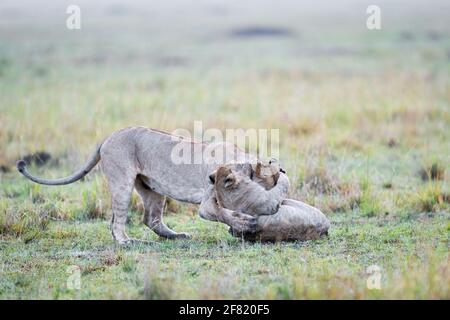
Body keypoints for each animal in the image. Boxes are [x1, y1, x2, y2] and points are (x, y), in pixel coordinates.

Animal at [17, 126, 288, 244]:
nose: (283, 172)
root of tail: (108, 136)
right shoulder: (206, 205)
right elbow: (221, 213)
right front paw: (244, 223)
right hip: (122, 182)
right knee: (116, 221)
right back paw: (126, 241)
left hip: (153, 189)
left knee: (151, 219)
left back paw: (177, 236)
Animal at [200, 164, 330, 241]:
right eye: (239, 166)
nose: (248, 164)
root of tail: (324, 231)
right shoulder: (266, 202)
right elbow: (280, 186)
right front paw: (280, 172)